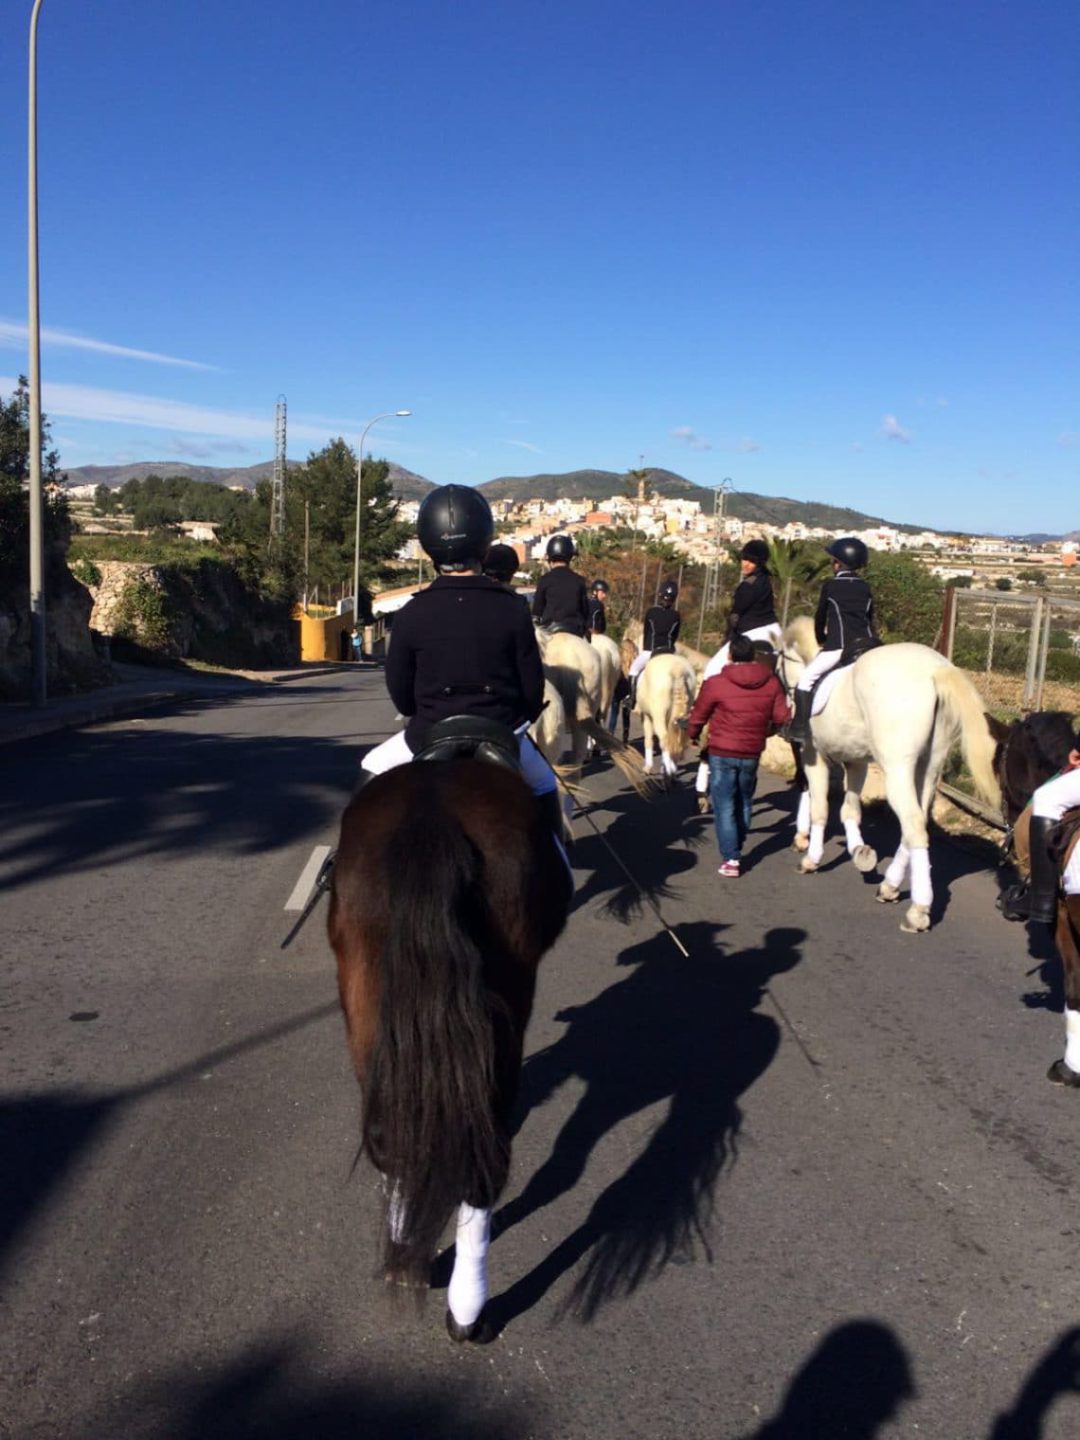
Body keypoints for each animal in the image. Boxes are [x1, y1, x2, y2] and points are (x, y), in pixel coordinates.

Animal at [328, 766, 576, 1336]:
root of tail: (431, 817)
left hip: (364, 996)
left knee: (392, 1135)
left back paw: (405, 1263)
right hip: (506, 1006)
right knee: (485, 1158)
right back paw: (468, 1308)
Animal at [783, 616, 1002, 933]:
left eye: (779, 661)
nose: (786, 699)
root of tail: (936, 669)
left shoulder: (814, 757)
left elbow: (819, 808)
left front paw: (811, 858)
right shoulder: (856, 762)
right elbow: (850, 809)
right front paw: (860, 852)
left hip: (897, 767)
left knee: (913, 824)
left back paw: (917, 910)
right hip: (930, 765)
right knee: (918, 822)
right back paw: (890, 886)